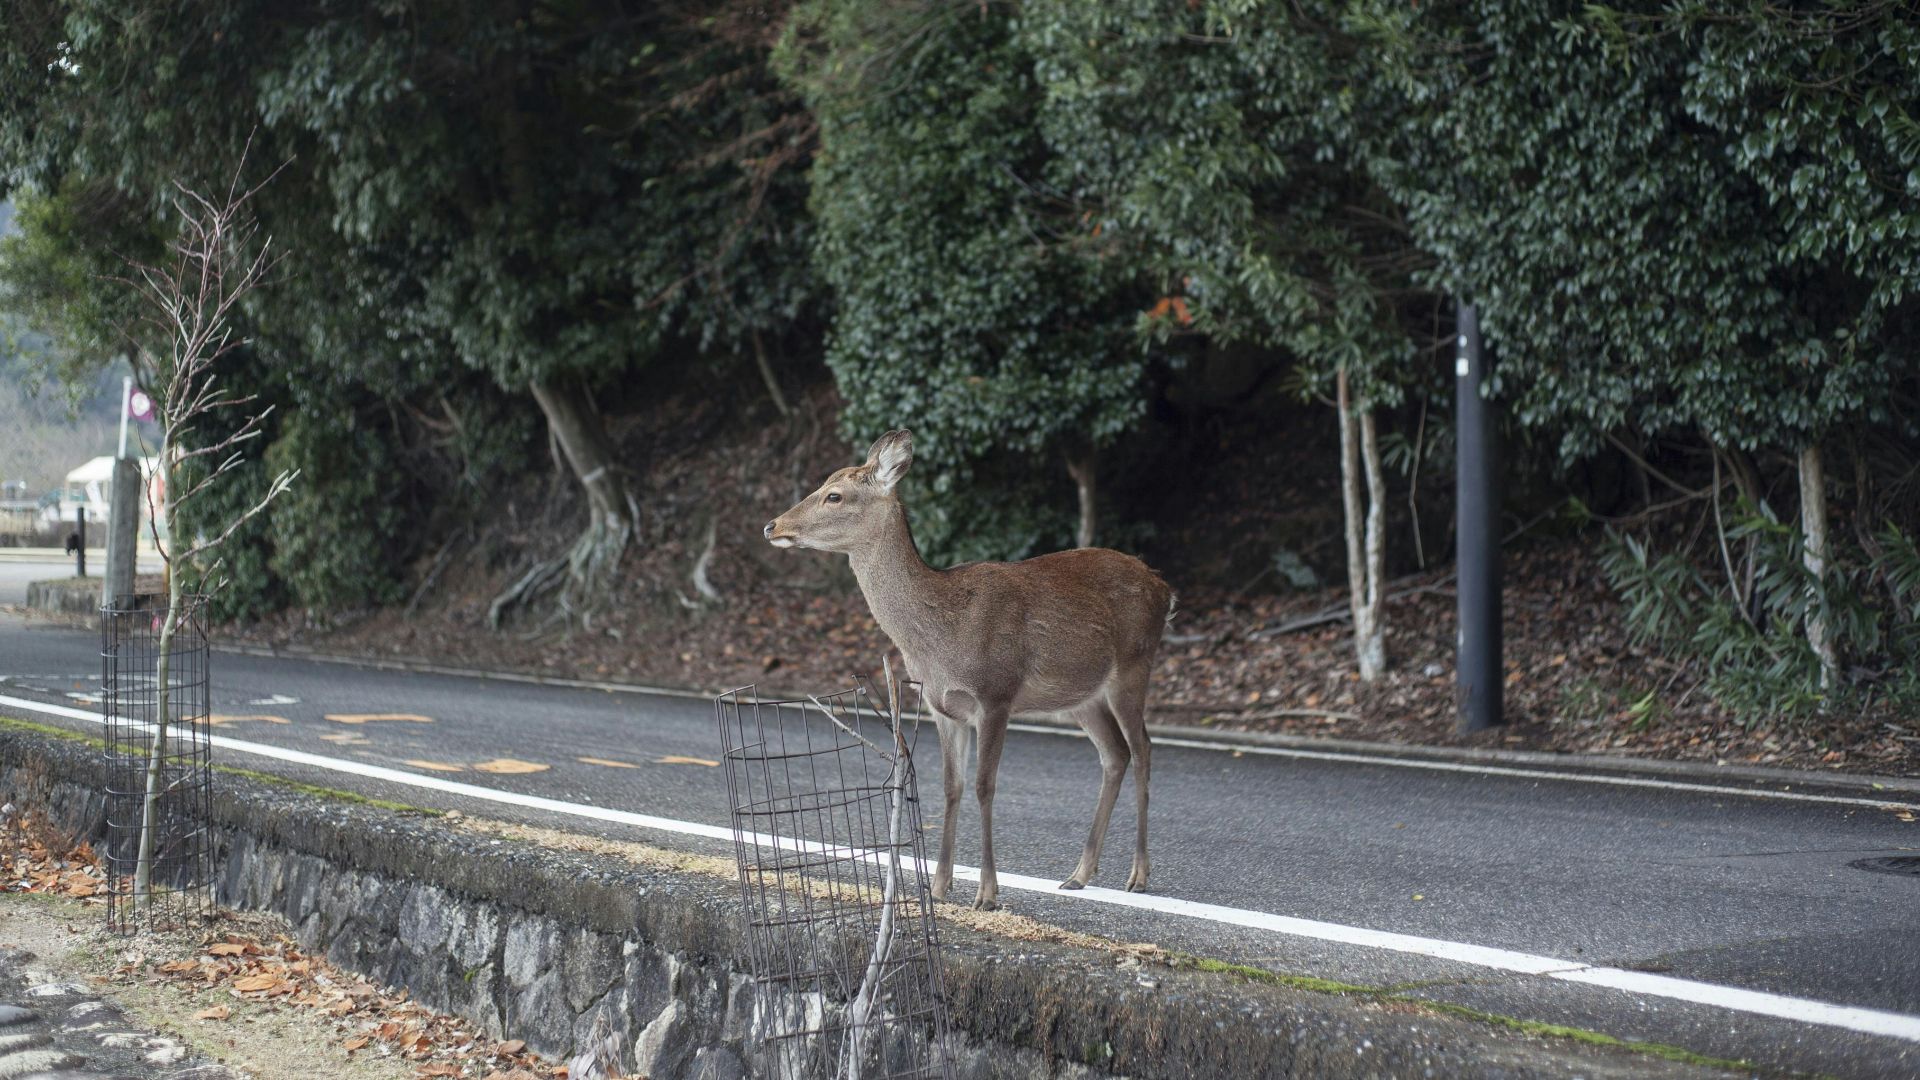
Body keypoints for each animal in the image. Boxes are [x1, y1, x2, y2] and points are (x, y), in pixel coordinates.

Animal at [765, 429, 1172, 910]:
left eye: (834, 495)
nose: (772, 526)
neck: (942, 639)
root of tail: (1164, 588)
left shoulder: (996, 694)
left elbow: (984, 785)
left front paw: (987, 893)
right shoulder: (942, 706)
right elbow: (951, 786)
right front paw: (939, 887)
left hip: (1134, 664)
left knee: (1143, 748)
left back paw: (1138, 874)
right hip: (1080, 696)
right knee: (1115, 753)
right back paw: (1078, 874)